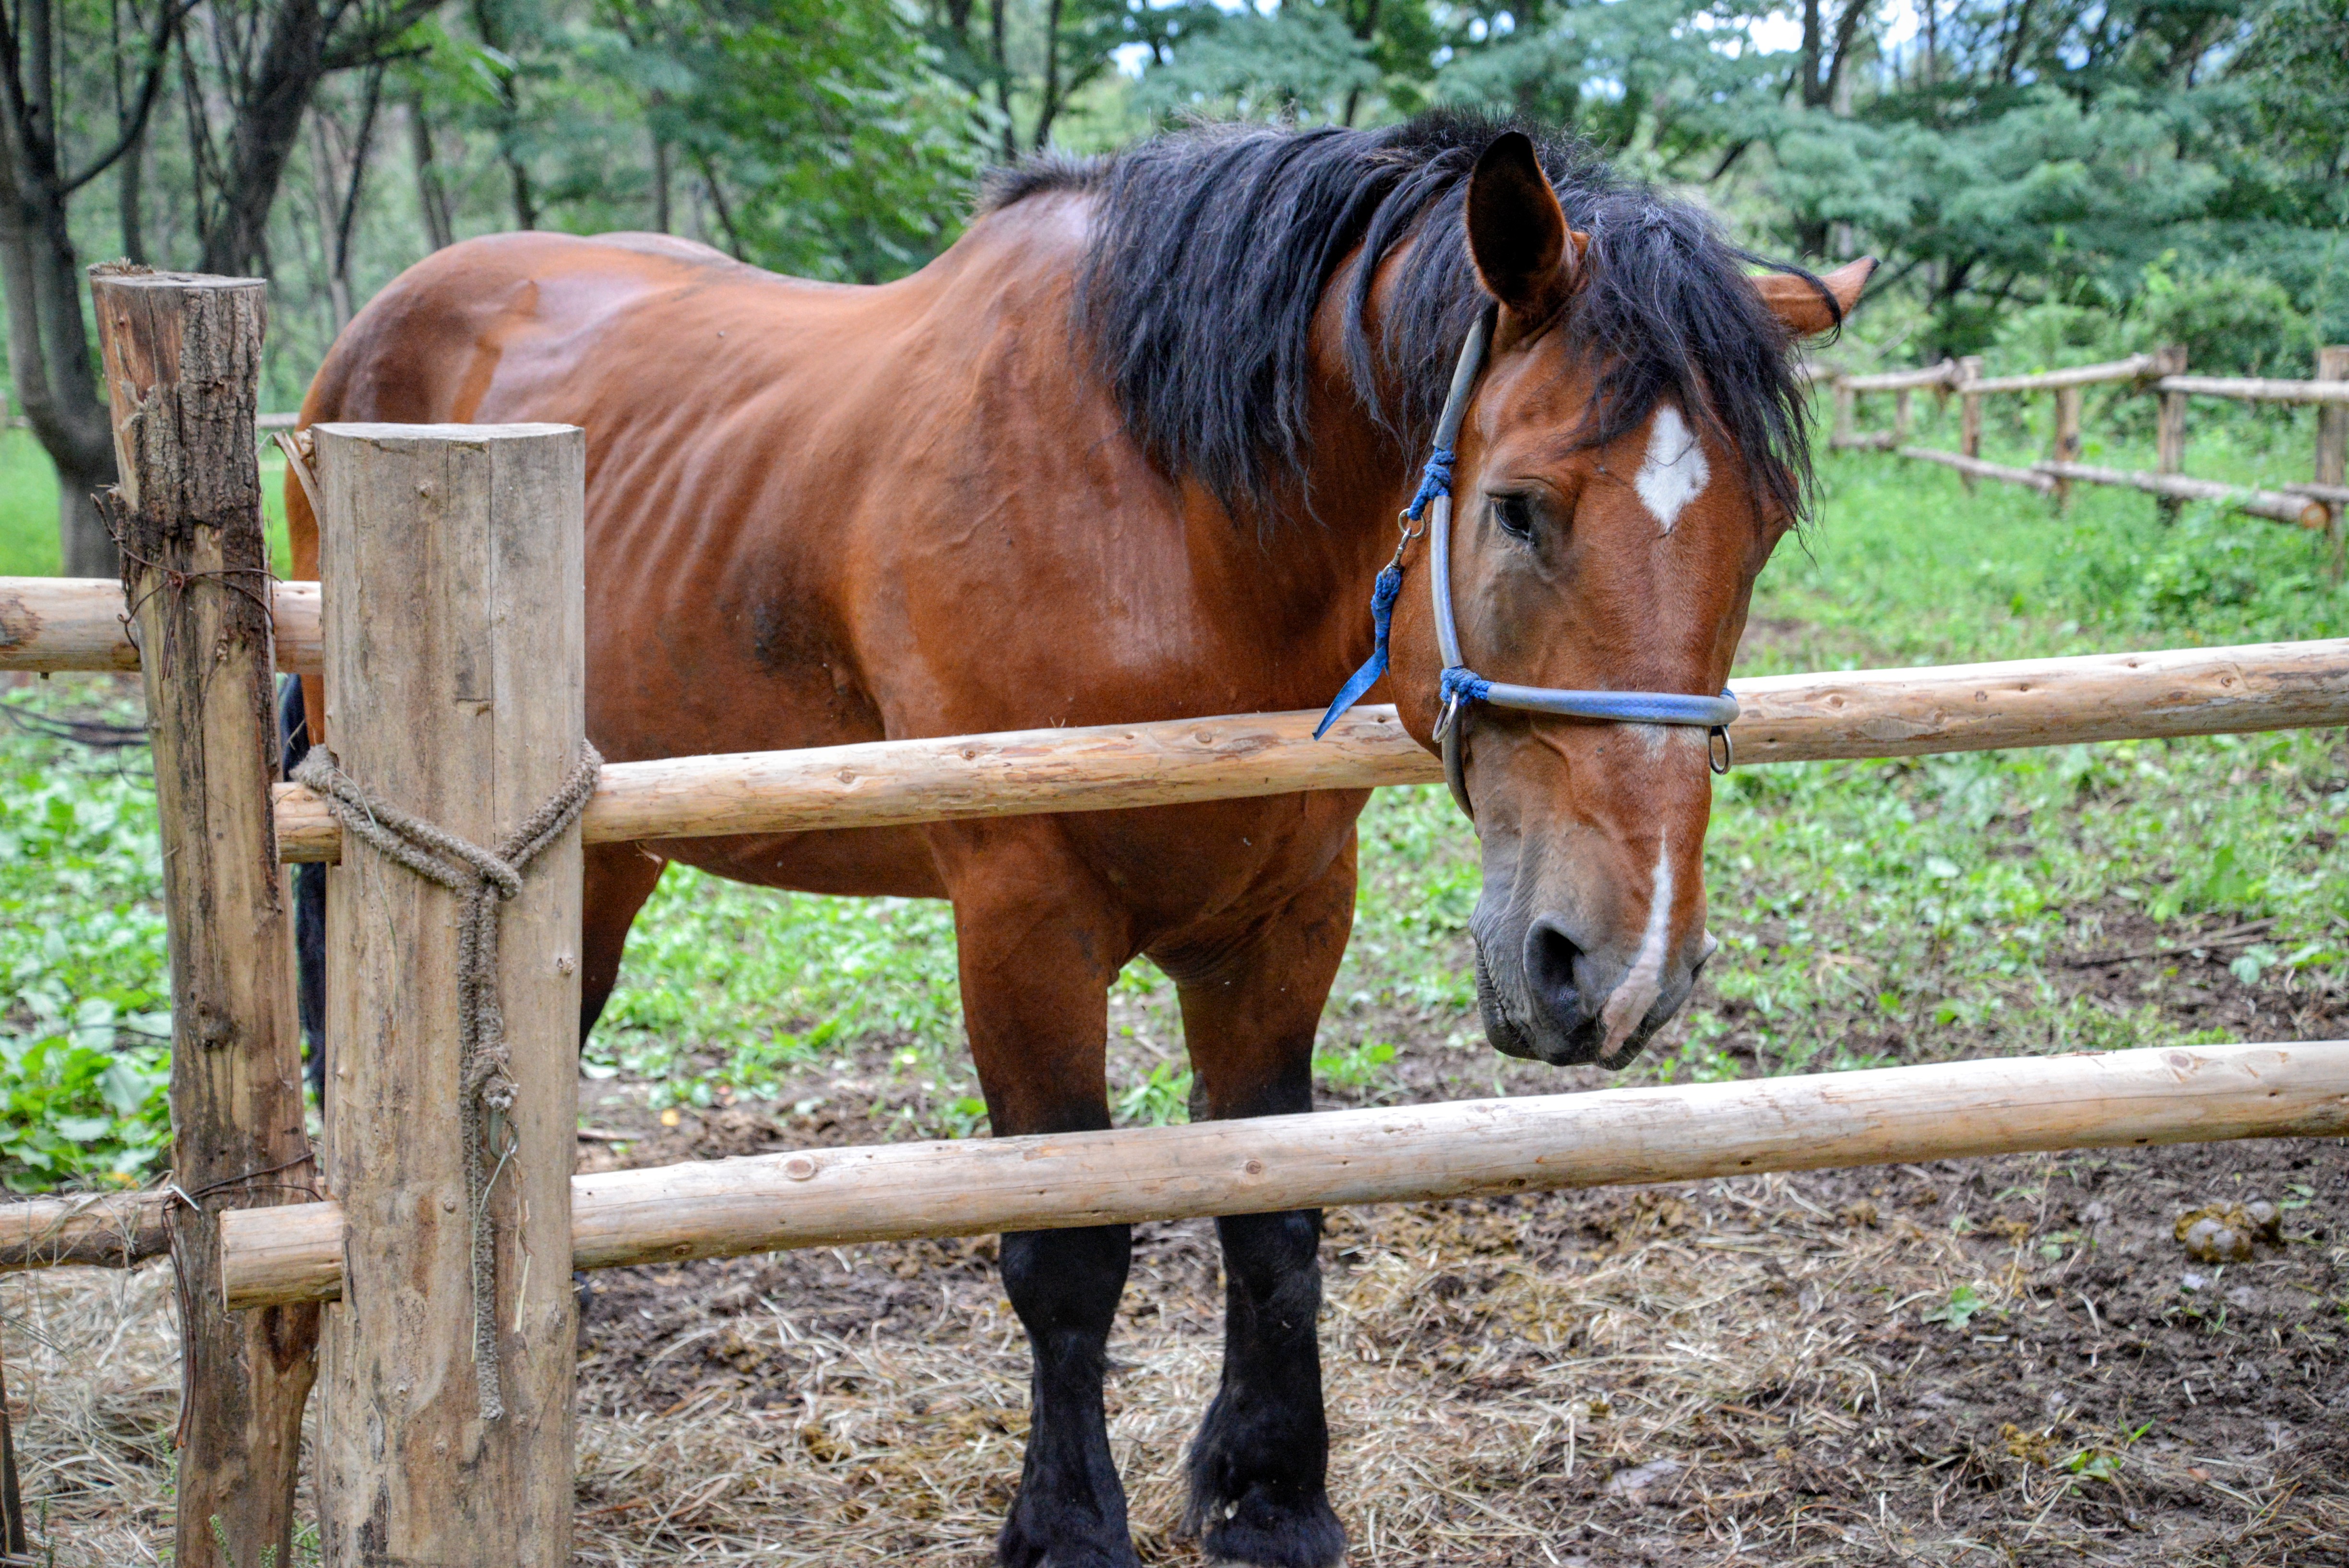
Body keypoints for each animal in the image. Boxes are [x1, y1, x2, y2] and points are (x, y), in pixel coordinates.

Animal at [289, 116, 1870, 1558]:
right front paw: (1065, 1524)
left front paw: (1270, 1498)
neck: (1172, 522)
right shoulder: (1023, 921)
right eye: (1521, 508)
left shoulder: (1283, 919)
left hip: (607, 848)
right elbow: (1067, 1244)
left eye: (1765, 530)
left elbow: (1272, 1213)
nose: (1615, 969)